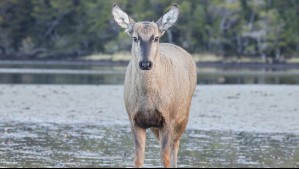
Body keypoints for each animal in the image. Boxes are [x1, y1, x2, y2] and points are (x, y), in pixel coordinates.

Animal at [111, 2, 198, 168]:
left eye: (156, 38)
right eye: (135, 38)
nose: (145, 63)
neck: (148, 98)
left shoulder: (168, 119)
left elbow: (165, 157)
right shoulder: (135, 120)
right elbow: (138, 158)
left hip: (183, 115)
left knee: (175, 146)